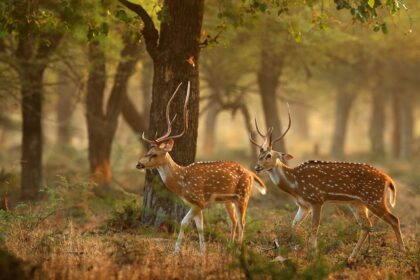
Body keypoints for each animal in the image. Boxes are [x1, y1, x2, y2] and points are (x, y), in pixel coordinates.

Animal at [136, 81, 266, 254]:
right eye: (147, 150)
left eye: (154, 154)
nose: (139, 164)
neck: (182, 183)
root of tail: (251, 173)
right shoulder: (194, 204)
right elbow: (199, 227)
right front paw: (202, 251)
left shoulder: (199, 201)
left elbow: (184, 222)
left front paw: (176, 251)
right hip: (229, 200)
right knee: (234, 221)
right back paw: (230, 246)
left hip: (243, 195)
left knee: (242, 222)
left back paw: (238, 248)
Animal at [248, 104, 406, 262]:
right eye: (259, 155)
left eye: (269, 155)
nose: (256, 167)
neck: (295, 185)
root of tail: (388, 179)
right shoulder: (303, 205)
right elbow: (293, 225)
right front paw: (290, 251)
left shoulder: (317, 199)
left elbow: (314, 228)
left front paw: (312, 255)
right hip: (357, 203)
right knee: (366, 226)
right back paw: (351, 258)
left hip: (374, 198)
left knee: (394, 219)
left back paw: (402, 252)